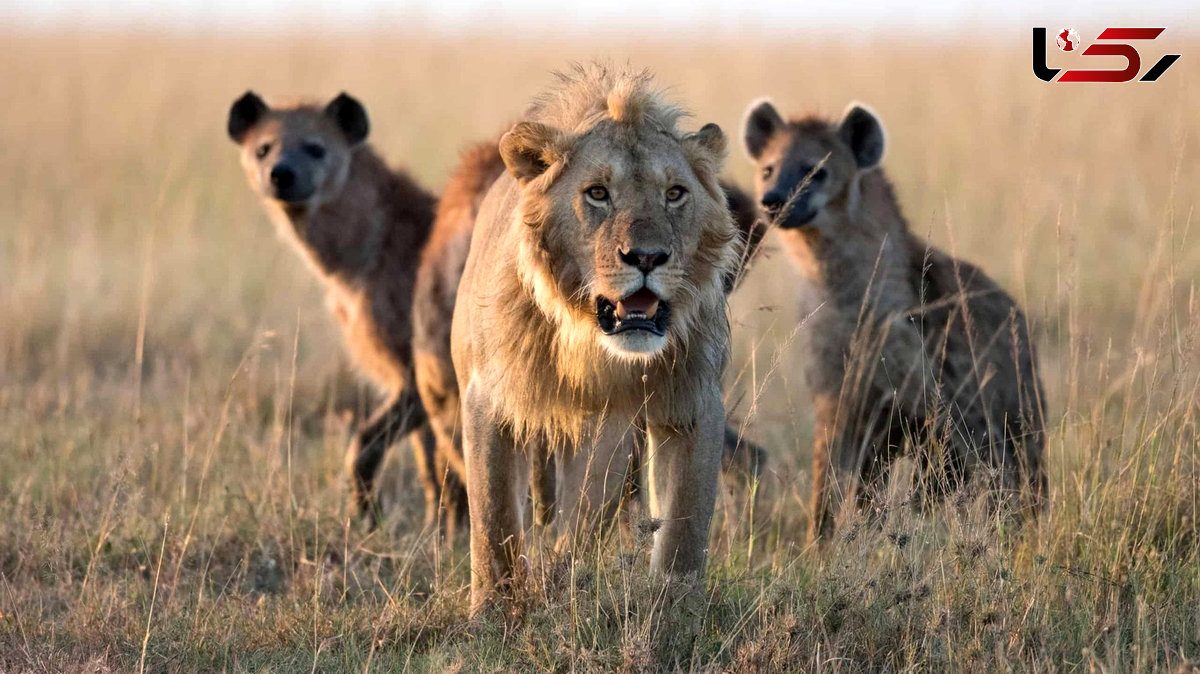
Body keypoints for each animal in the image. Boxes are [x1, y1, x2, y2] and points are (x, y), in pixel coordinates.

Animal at [448, 66, 734, 609]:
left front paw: (677, 611)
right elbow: (493, 520)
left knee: (581, 524)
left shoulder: (691, 400)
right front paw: (493, 610)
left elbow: (684, 529)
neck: (592, 347)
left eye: (675, 193)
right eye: (598, 193)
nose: (646, 257)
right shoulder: (487, 396)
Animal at [744, 98, 1046, 539]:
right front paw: (821, 545)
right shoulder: (839, 401)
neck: (847, 298)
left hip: (1017, 415)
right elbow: (829, 488)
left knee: (1014, 481)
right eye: (768, 168)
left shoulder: (941, 410)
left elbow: (935, 488)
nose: (773, 199)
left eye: (816, 171)